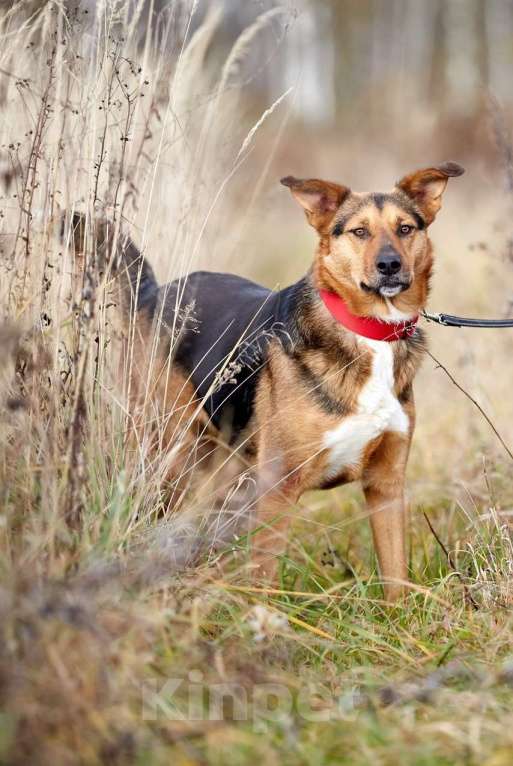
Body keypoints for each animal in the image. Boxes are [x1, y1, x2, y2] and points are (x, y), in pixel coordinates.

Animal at [79, 162, 464, 604]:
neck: (370, 331)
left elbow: (396, 575)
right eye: (359, 232)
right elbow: (264, 579)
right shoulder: (279, 487)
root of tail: (154, 294)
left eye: (405, 228)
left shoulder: (386, 485)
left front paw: (395, 615)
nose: (389, 265)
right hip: (169, 452)